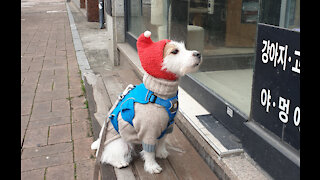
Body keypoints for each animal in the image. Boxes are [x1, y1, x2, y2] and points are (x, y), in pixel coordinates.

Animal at [90, 30, 201, 174]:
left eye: (185, 47)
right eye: (175, 51)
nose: (198, 54)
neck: (159, 93)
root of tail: (101, 141)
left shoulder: (167, 126)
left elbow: (162, 141)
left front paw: (161, 152)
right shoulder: (148, 131)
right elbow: (149, 151)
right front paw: (152, 166)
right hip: (121, 144)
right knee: (107, 155)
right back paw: (120, 162)